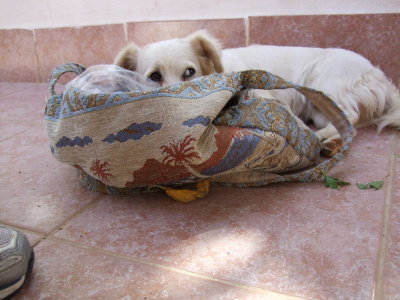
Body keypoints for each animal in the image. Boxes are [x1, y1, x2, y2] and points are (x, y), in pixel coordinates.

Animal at [113, 30, 400, 151]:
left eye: (189, 72)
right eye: (154, 76)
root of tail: (378, 75)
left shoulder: (265, 93)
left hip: (324, 82)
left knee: (349, 116)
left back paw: (326, 138)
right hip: (318, 109)